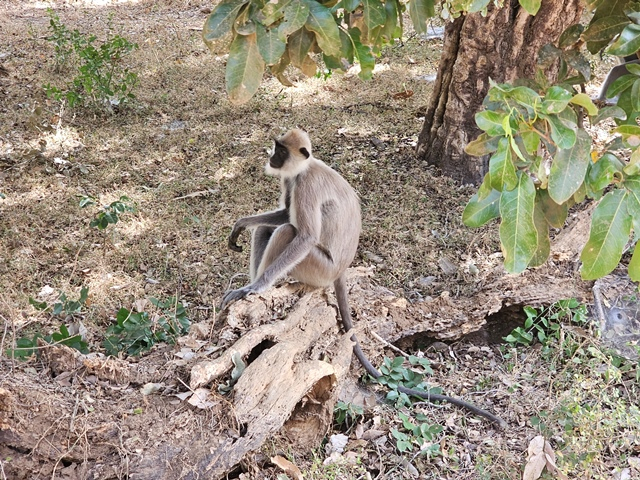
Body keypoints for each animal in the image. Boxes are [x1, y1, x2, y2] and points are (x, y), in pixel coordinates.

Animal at [221, 129, 507, 429]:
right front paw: (241, 225)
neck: (303, 169)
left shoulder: (305, 185)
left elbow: (304, 235)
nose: (272, 157)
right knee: (268, 228)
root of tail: (341, 270)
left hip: (318, 267)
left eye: (282, 151)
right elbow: (284, 215)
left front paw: (256, 287)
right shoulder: (291, 181)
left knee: (288, 231)